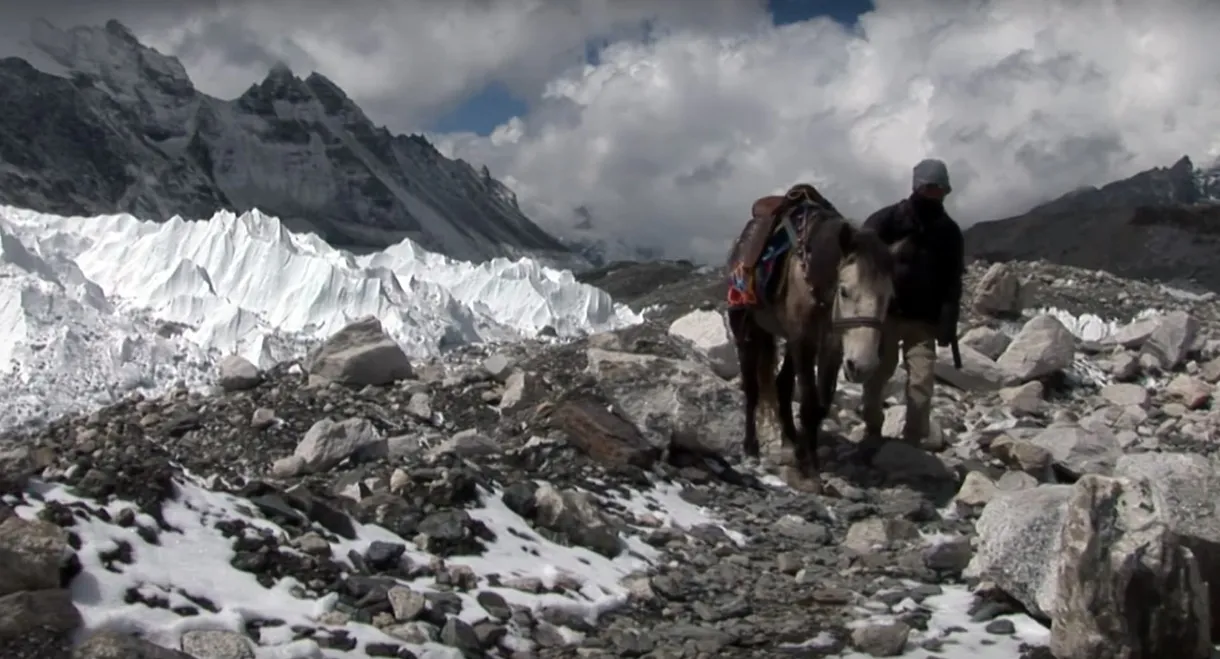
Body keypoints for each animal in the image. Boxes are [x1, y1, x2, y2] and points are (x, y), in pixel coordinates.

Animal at [722, 183, 897, 480]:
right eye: (845, 291)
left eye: (889, 298)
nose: (862, 366)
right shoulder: (804, 342)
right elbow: (808, 401)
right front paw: (807, 463)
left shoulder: (832, 347)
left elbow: (821, 404)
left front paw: (809, 454)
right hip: (748, 331)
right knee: (753, 389)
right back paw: (751, 447)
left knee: (781, 385)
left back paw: (791, 441)